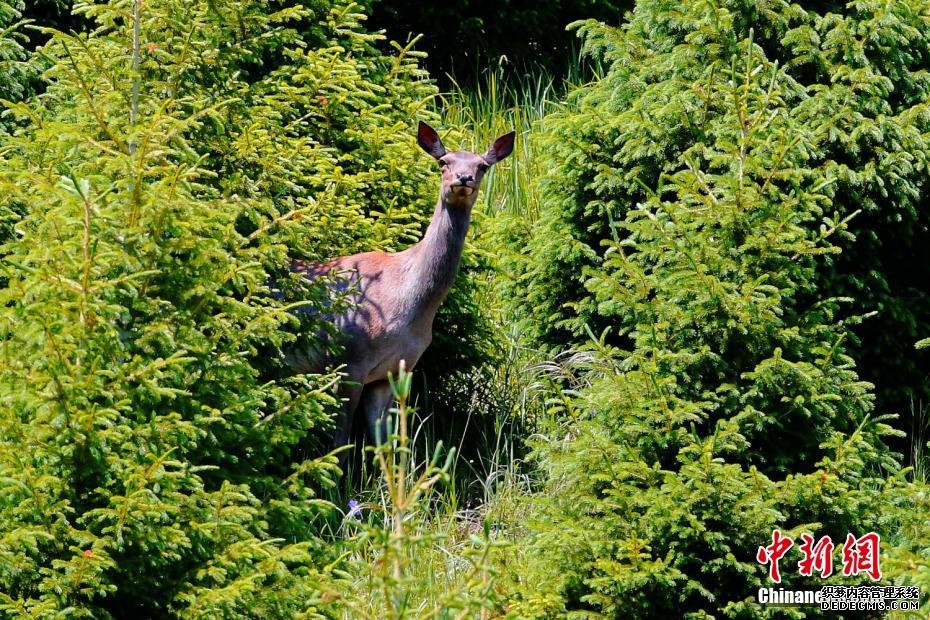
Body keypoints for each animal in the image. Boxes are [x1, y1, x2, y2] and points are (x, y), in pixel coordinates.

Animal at [284, 122, 516, 450]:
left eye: (482, 166)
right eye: (443, 162)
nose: (463, 178)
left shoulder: (392, 371)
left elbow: (386, 443)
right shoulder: (348, 359)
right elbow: (340, 444)